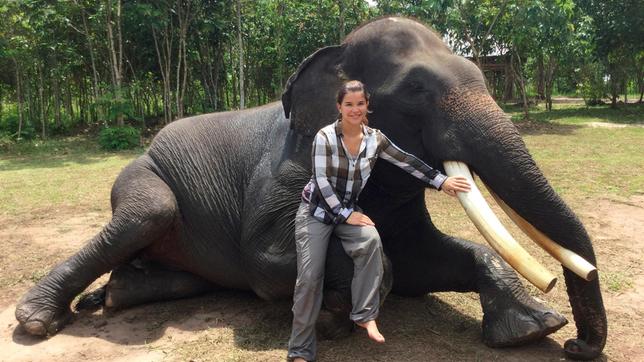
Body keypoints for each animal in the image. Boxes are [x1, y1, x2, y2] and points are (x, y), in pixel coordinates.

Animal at [16, 16, 608, 360]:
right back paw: (38, 319)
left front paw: (534, 331)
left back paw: (111, 295)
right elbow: (268, 259)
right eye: (416, 89)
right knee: (150, 211)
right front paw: (337, 314)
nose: (578, 347)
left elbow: (422, 261)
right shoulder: (285, 169)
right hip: (144, 174)